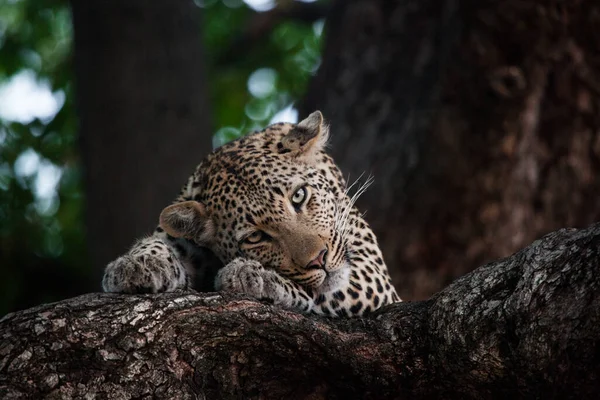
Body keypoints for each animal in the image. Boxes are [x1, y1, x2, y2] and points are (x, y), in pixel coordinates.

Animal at [103, 111, 400, 318]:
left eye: (299, 196)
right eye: (256, 237)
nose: (319, 259)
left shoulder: (372, 276)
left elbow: (318, 289)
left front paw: (252, 275)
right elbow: (161, 241)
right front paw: (137, 264)